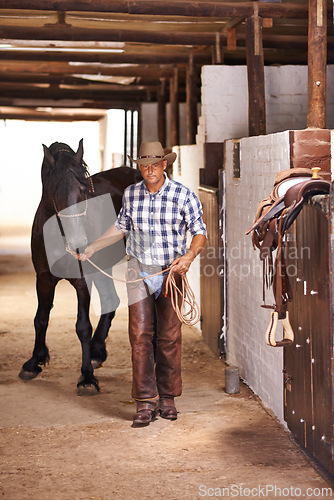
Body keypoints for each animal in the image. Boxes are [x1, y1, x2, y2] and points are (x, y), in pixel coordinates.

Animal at [18, 140, 141, 394]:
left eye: (83, 192)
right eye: (55, 191)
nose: (79, 243)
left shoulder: (83, 281)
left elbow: (82, 326)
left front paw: (87, 377)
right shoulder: (43, 279)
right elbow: (40, 318)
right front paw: (34, 362)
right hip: (101, 267)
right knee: (110, 300)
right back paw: (97, 351)